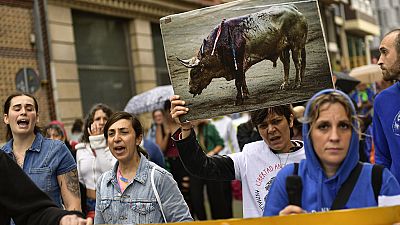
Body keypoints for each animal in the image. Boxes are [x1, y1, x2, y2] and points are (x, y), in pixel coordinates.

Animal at [179, 4, 310, 106]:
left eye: (194, 73)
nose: (190, 90)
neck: (220, 44)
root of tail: (293, 9)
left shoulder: (237, 63)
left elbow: (238, 82)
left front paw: (238, 100)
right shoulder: (239, 66)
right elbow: (242, 80)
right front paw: (246, 94)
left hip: (295, 45)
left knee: (297, 63)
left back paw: (297, 83)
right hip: (284, 48)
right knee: (286, 64)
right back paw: (284, 84)